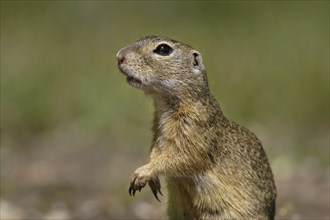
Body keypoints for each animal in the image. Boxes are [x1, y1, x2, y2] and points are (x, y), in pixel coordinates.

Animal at [116, 35, 276, 219]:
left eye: (163, 49)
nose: (119, 56)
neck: (165, 105)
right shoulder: (157, 132)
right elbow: (155, 151)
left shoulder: (195, 130)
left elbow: (180, 156)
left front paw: (143, 173)